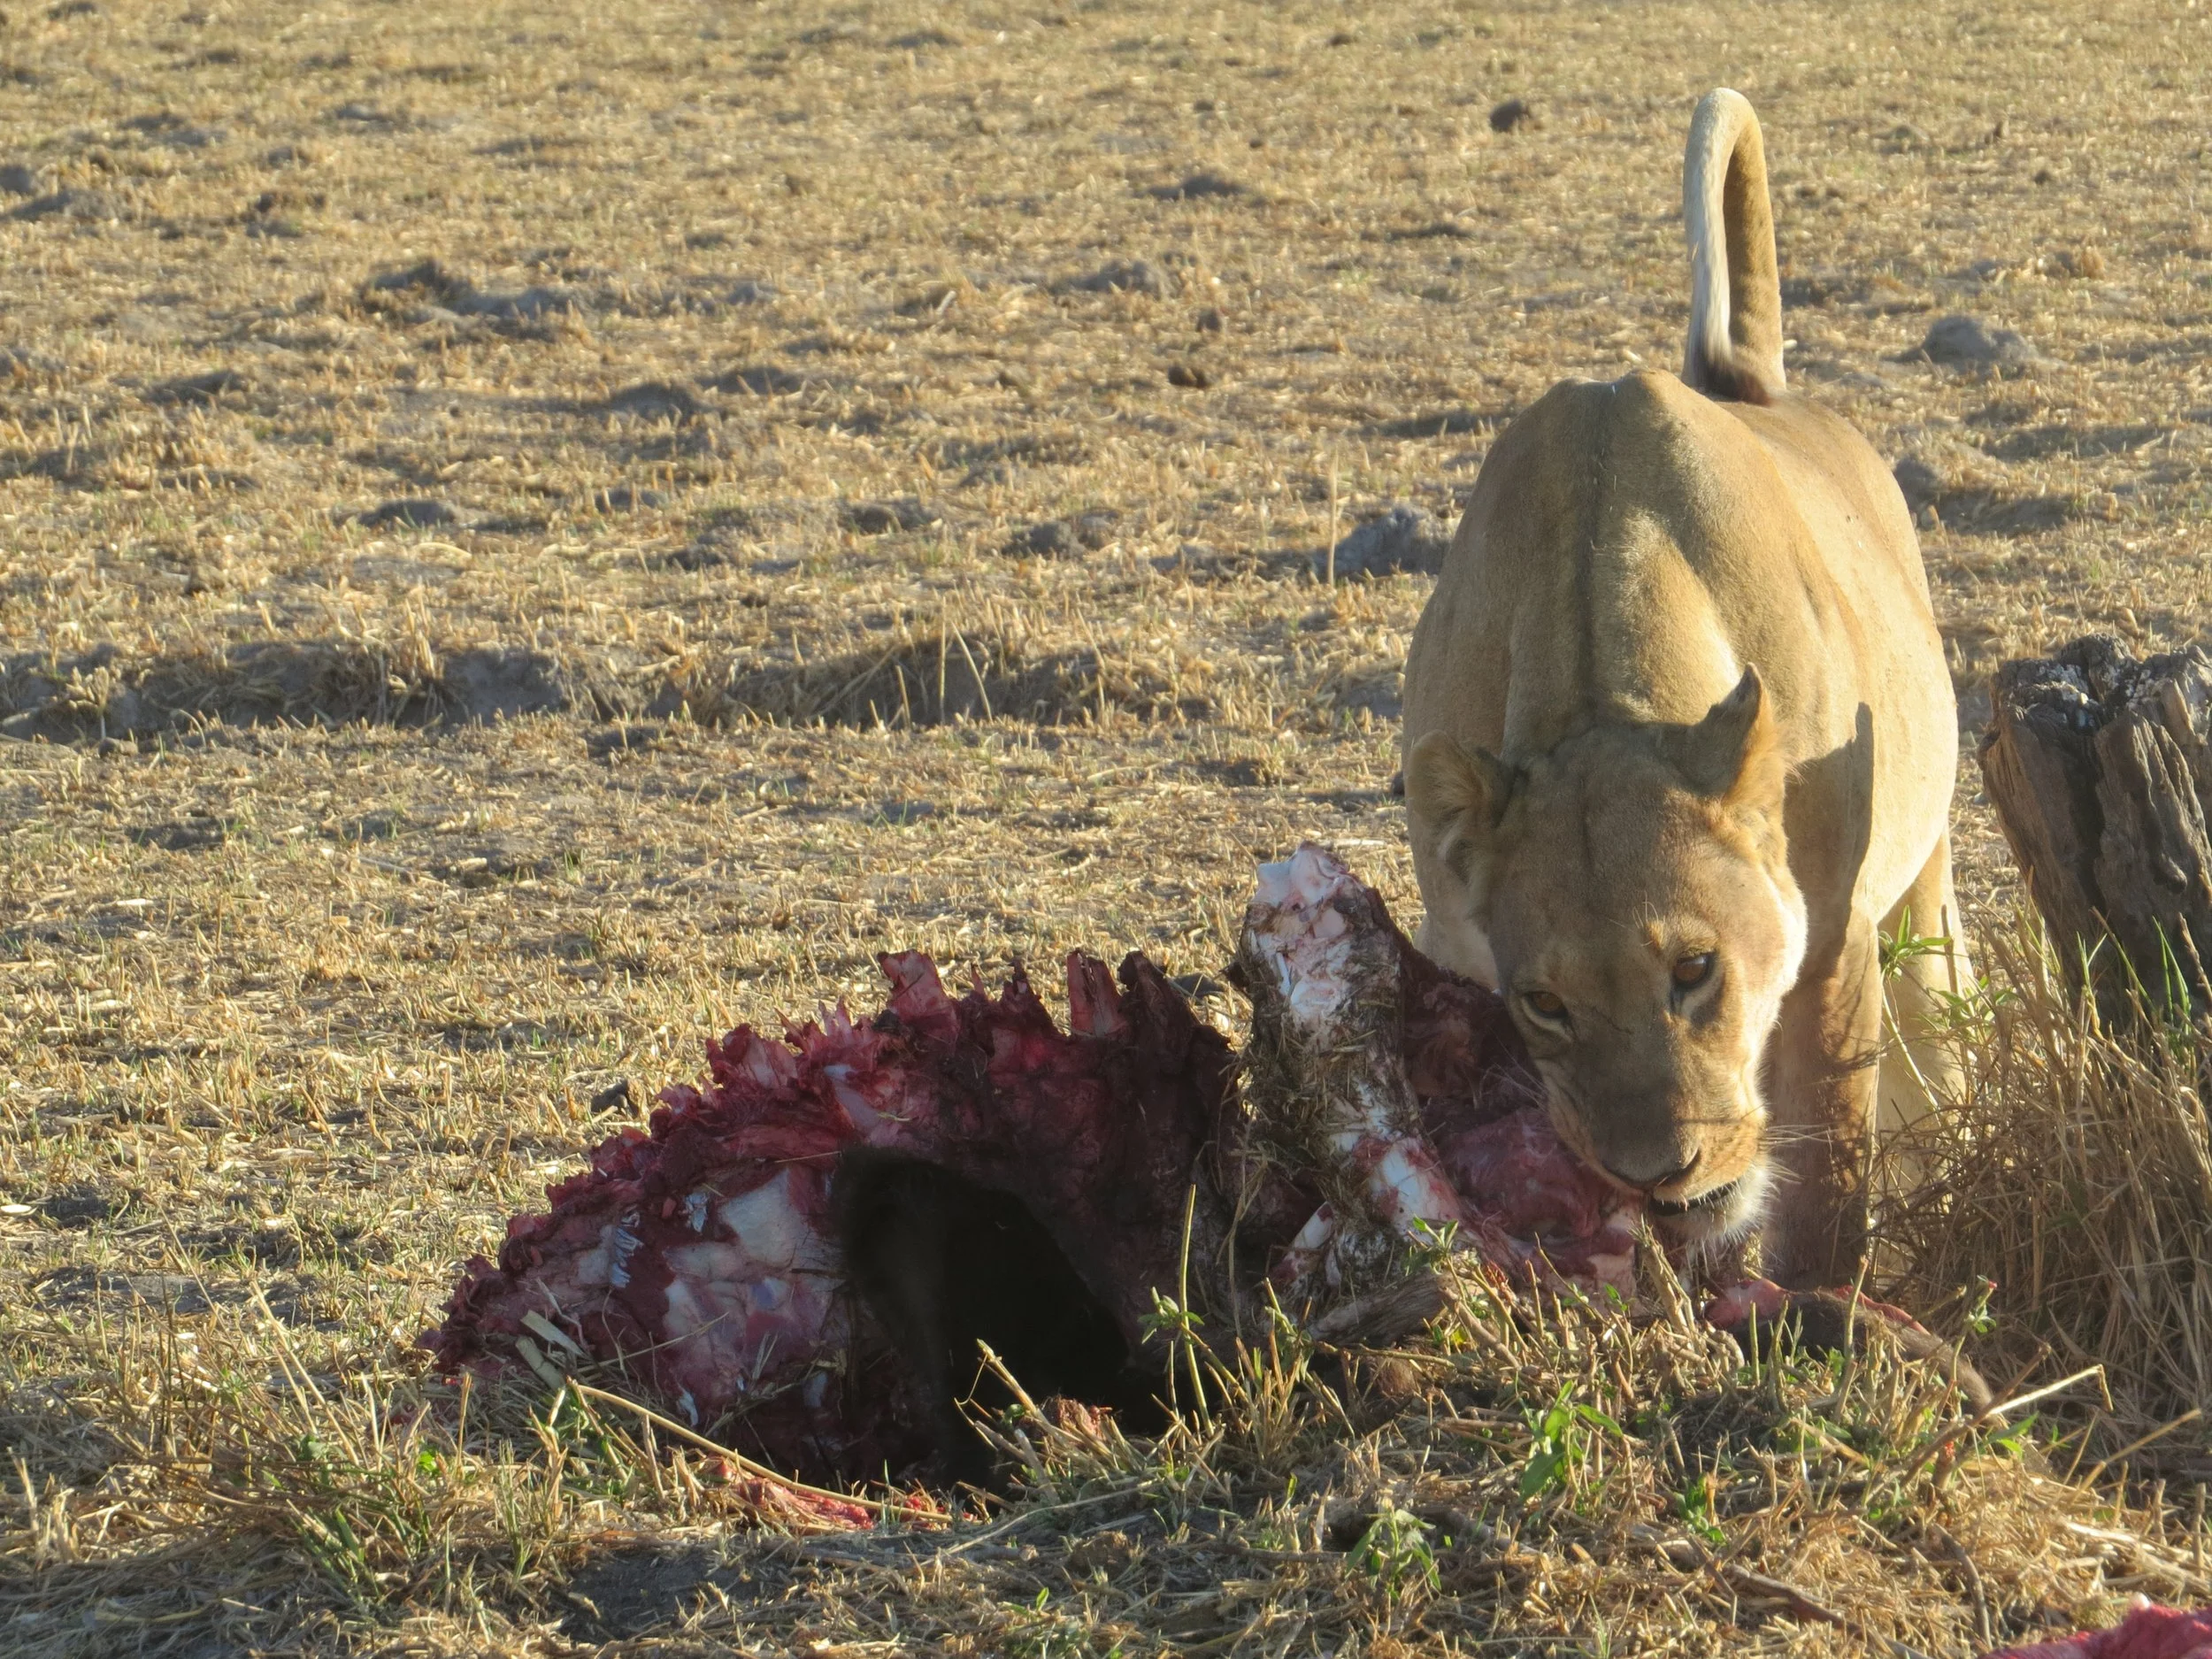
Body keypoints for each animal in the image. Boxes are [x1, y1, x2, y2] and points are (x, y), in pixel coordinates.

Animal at [1400, 89, 1967, 1290]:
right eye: (1546, 1004)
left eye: (1695, 968)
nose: (1660, 1174)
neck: (1599, 696)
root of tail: (1743, 385)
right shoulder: (1454, 944)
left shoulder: (1833, 948)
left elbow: (1830, 1175)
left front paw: (1819, 1306)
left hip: (1923, 896)